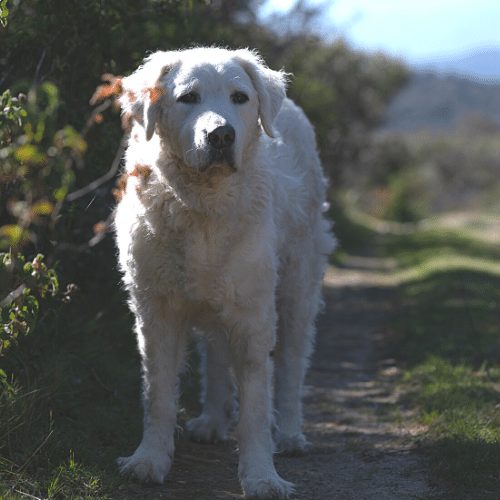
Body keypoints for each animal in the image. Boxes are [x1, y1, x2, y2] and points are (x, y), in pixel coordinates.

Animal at [113, 46, 332, 496]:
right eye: (188, 98)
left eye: (239, 98)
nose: (220, 135)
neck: (204, 206)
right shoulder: (156, 309)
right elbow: (158, 394)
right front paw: (148, 460)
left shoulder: (253, 315)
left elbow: (255, 407)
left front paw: (263, 477)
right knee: (215, 353)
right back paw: (213, 421)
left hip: (298, 286)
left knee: (292, 364)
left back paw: (290, 434)